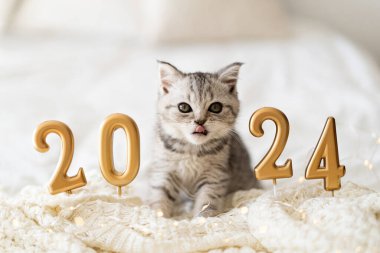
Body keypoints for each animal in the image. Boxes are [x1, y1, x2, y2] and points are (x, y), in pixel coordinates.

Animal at [145, 61, 258, 217]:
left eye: (216, 107)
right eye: (183, 107)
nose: (200, 121)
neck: (192, 150)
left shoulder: (215, 176)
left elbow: (207, 200)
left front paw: (202, 218)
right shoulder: (164, 169)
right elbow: (160, 195)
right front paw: (158, 216)